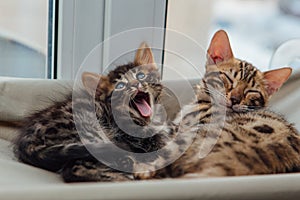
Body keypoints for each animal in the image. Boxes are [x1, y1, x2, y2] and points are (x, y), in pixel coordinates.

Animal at [14, 42, 169, 183]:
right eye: (120, 86)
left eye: (141, 76)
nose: (136, 85)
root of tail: (27, 138)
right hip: (90, 133)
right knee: (73, 169)